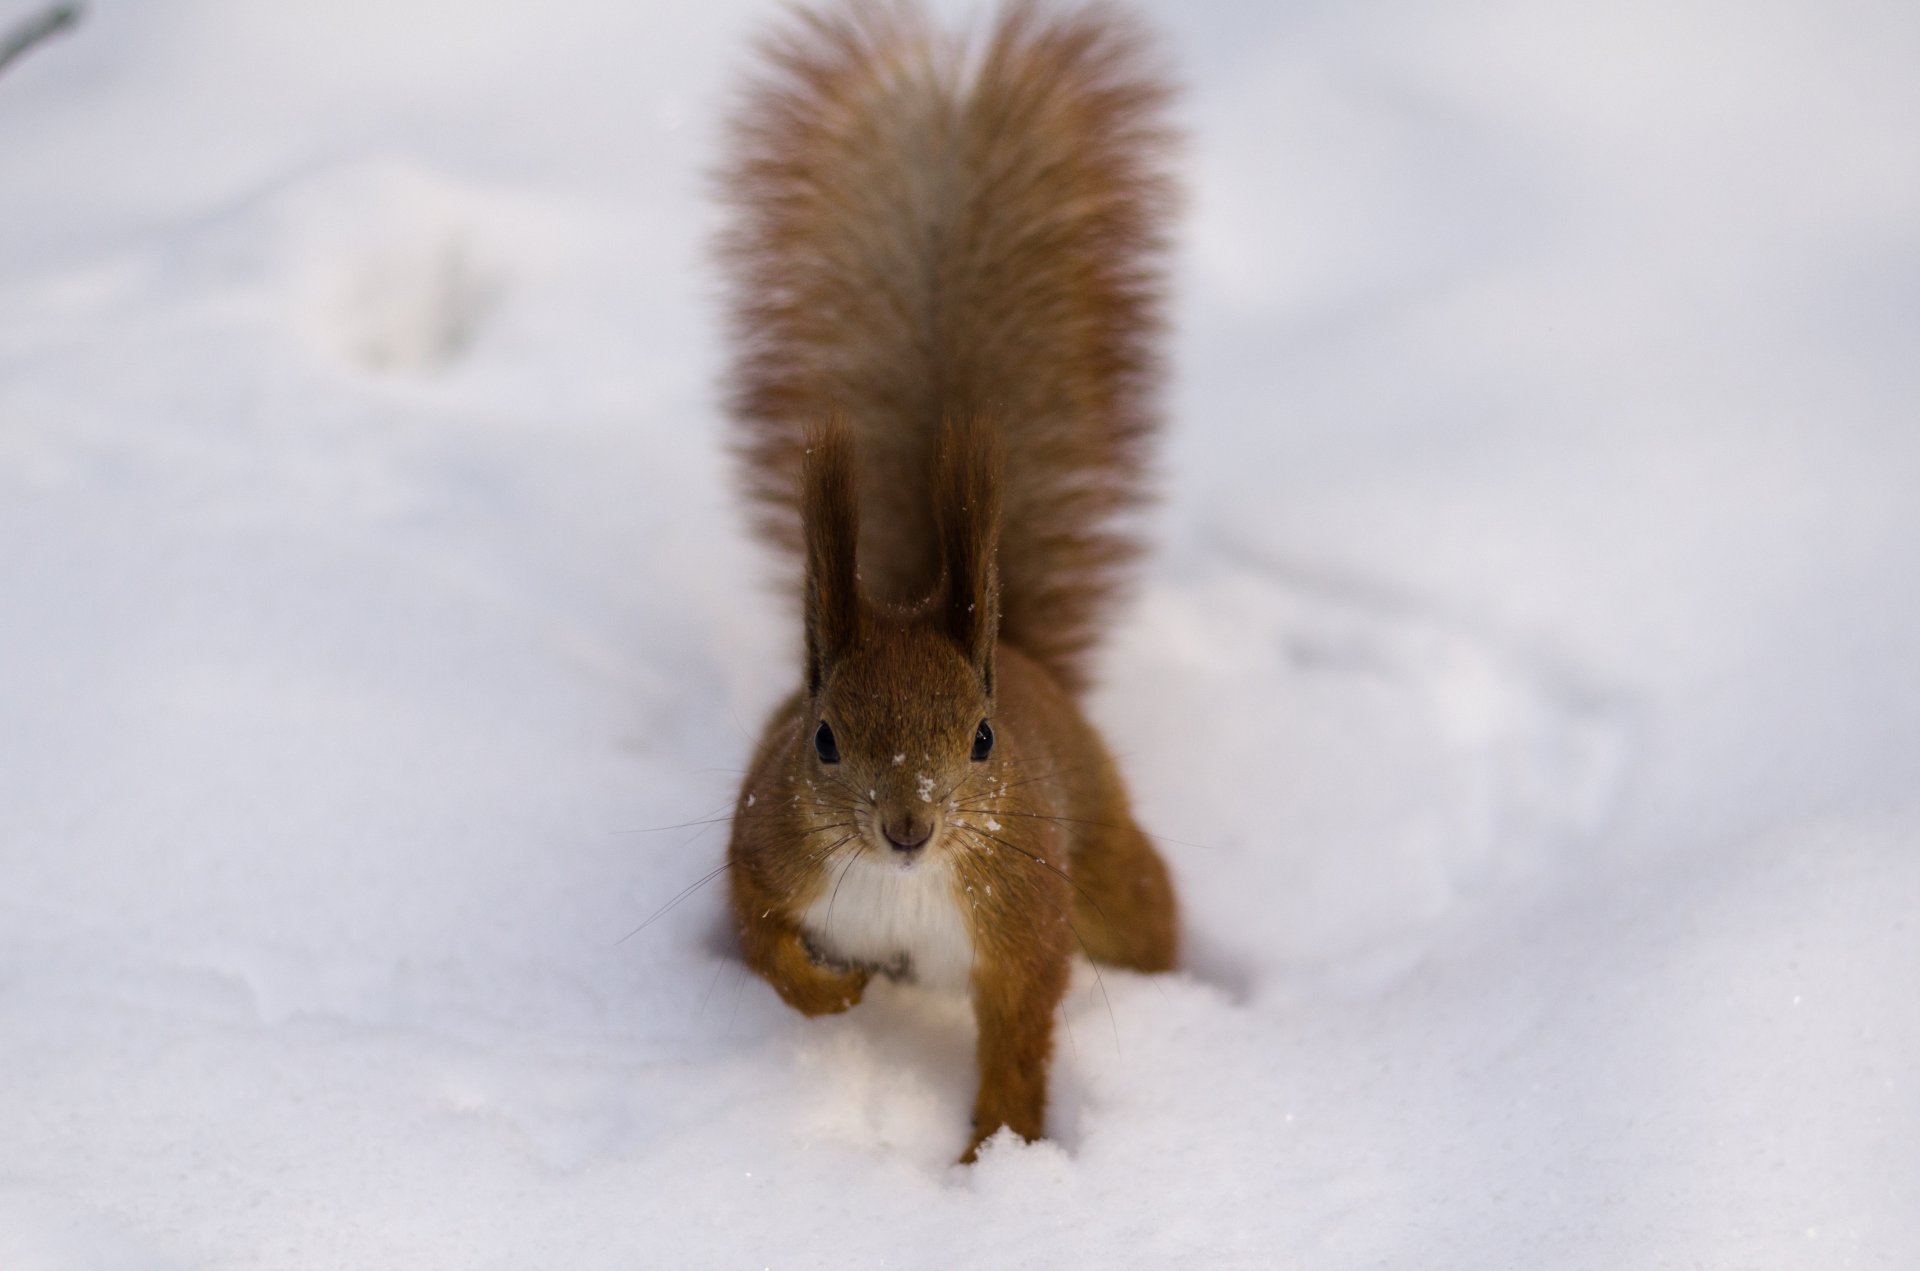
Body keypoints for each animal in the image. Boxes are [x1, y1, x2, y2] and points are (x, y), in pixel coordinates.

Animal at [715, 0, 1179, 1163]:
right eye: (823, 738)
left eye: (981, 738)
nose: (908, 825)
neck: (901, 886)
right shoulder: (762, 845)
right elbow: (762, 940)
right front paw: (831, 998)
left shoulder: (1024, 914)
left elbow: (1020, 1032)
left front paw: (995, 1157)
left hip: (1108, 867)